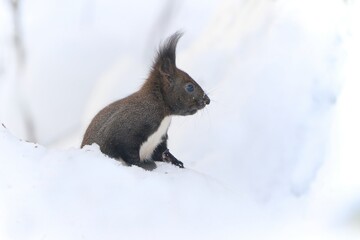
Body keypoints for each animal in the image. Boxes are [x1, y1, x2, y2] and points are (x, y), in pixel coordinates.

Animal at [81, 32, 211, 171]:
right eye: (190, 87)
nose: (207, 100)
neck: (163, 112)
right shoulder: (127, 130)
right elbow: (128, 152)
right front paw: (144, 165)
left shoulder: (160, 139)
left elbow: (163, 152)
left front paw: (176, 162)